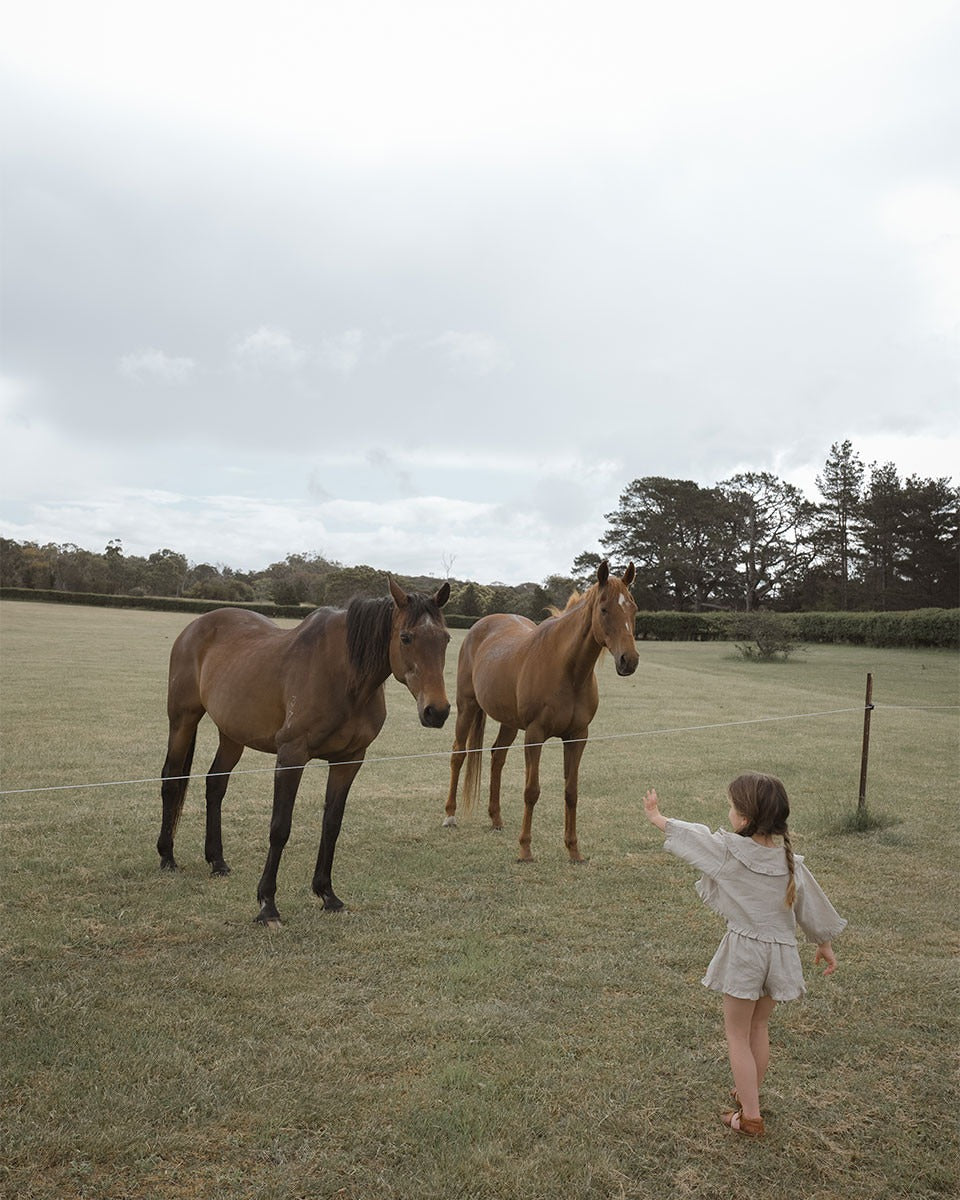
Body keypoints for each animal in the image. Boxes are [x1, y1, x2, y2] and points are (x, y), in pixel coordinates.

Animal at [156, 578, 451, 924]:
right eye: (406, 637)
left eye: (445, 639)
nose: (437, 711)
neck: (344, 676)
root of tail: (196, 626)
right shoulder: (291, 757)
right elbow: (280, 827)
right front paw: (267, 903)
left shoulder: (349, 760)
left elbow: (332, 825)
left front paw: (327, 894)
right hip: (182, 719)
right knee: (171, 780)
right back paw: (167, 857)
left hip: (231, 734)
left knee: (215, 784)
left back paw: (217, 861)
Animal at [443, 561, 638, 862]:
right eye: (604, 609)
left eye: (633, 608)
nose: (629, 660)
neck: (567, 670)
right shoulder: (535, 735)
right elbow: (531, 791)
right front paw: (525, 849)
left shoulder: (578, 736)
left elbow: (571, 792)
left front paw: (574, 850)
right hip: (467, 707)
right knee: (458, 754)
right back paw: (450, 815)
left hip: (509, 722)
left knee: (497, 757)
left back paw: (496, 819)